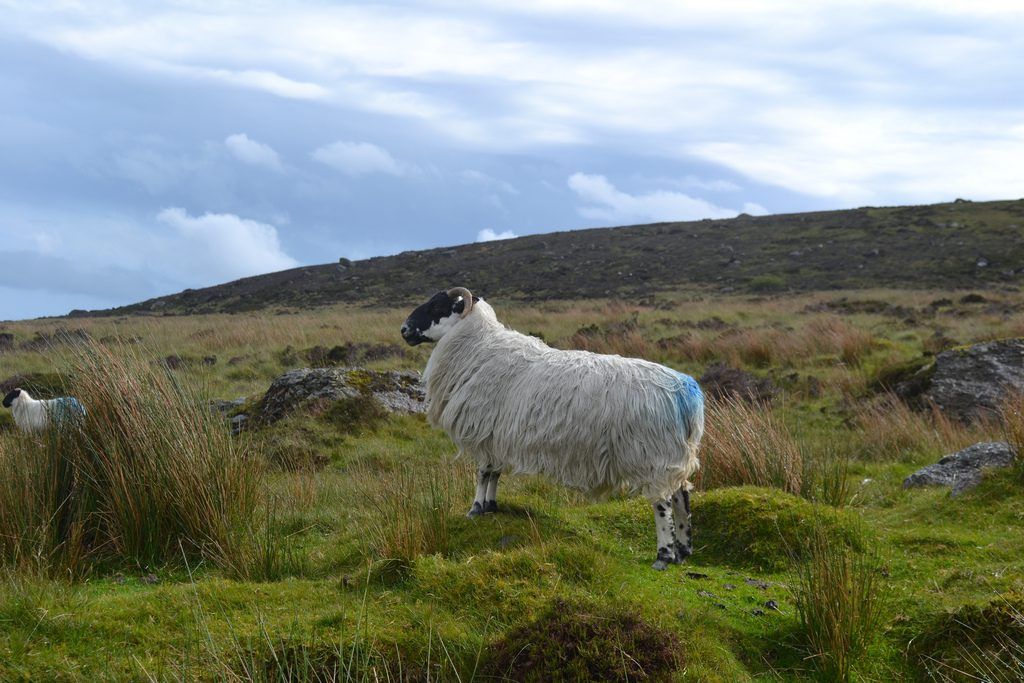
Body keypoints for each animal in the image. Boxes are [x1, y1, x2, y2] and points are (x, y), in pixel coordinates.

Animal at [401, 287, 704, 570]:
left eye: (437, 306)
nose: (404, 329)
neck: (480, 346)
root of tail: (686, 392)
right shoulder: (497, 434)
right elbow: (495, 473)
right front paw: (491, 506)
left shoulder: (484, 429)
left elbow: (483, 473)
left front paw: (475, 509)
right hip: (674, 454)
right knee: (682, 496)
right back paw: (684, 550)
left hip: (653, 455)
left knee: (663, 504)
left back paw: (663, 555)